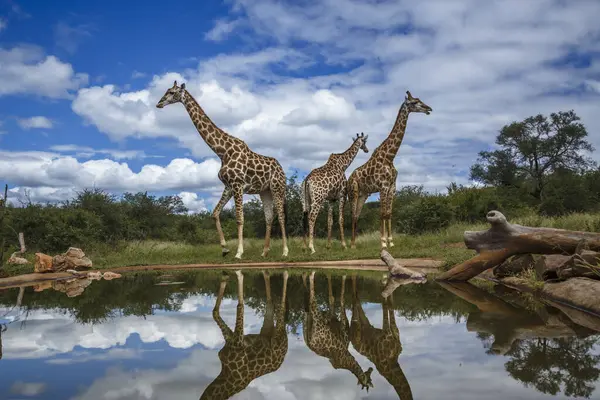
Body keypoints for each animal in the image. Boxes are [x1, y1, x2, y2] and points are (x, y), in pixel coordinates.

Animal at [157, 81, 288, 260]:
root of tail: (282, 170)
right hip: (264, 191)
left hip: (277, 187)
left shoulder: (238, 185)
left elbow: (239, 218)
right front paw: (225, 248)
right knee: (269, 217)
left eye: (171, 92)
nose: (159, 103)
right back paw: (264, 252)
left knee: (281, 216)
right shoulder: (228, 186)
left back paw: (285, 251)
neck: (222, 151)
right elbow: (215, 213)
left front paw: (239, 252)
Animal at [200, 268, 290, 400]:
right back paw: (266, 273)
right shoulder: (231, 339)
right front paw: (225, 277)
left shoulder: (238, 341)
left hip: (278, 335)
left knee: (282, 307)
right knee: (270, 302)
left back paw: (285, 273)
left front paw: (238, 274)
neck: (226, 374)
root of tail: (285, 348)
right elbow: (215, 312)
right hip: (266, 329)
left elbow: (240, 306)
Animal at [346, 90, 432, 250]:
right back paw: (352, 244)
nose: (428, 108)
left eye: (420, 100)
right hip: (353, 192)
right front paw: (382, 242)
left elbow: (389, 213)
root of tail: (349, 178)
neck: (390, 157)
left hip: (363, 194)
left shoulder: (392, 187)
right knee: (352, 214)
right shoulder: (383, 186)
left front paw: (391, 241)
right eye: (414, 102)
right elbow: (382, 213)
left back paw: (355, 243)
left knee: (357, 215)